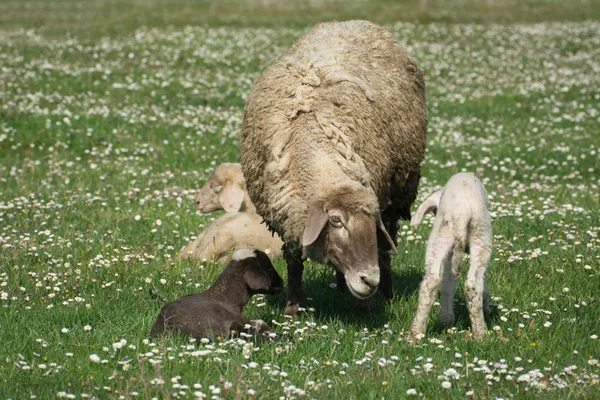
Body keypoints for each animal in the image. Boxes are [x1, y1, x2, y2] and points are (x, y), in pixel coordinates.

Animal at [239, 21, 426, 316]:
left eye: (370, 224)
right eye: (336, 220)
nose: (369, 280)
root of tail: (352, 22)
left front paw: (368, 306)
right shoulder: (289, 213)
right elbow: (294, 258)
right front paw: (293, 308)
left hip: (398, 192)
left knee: (388, 245)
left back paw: (386, 291)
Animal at [408, 171, 492, 340]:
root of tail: (462, 211)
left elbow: (447, 284)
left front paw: (446, 319)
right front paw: (486, 307)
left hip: (441, 236)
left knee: (432, 281)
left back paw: (416, 333)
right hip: (481, 238)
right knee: (473, 284)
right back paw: (481, 333)